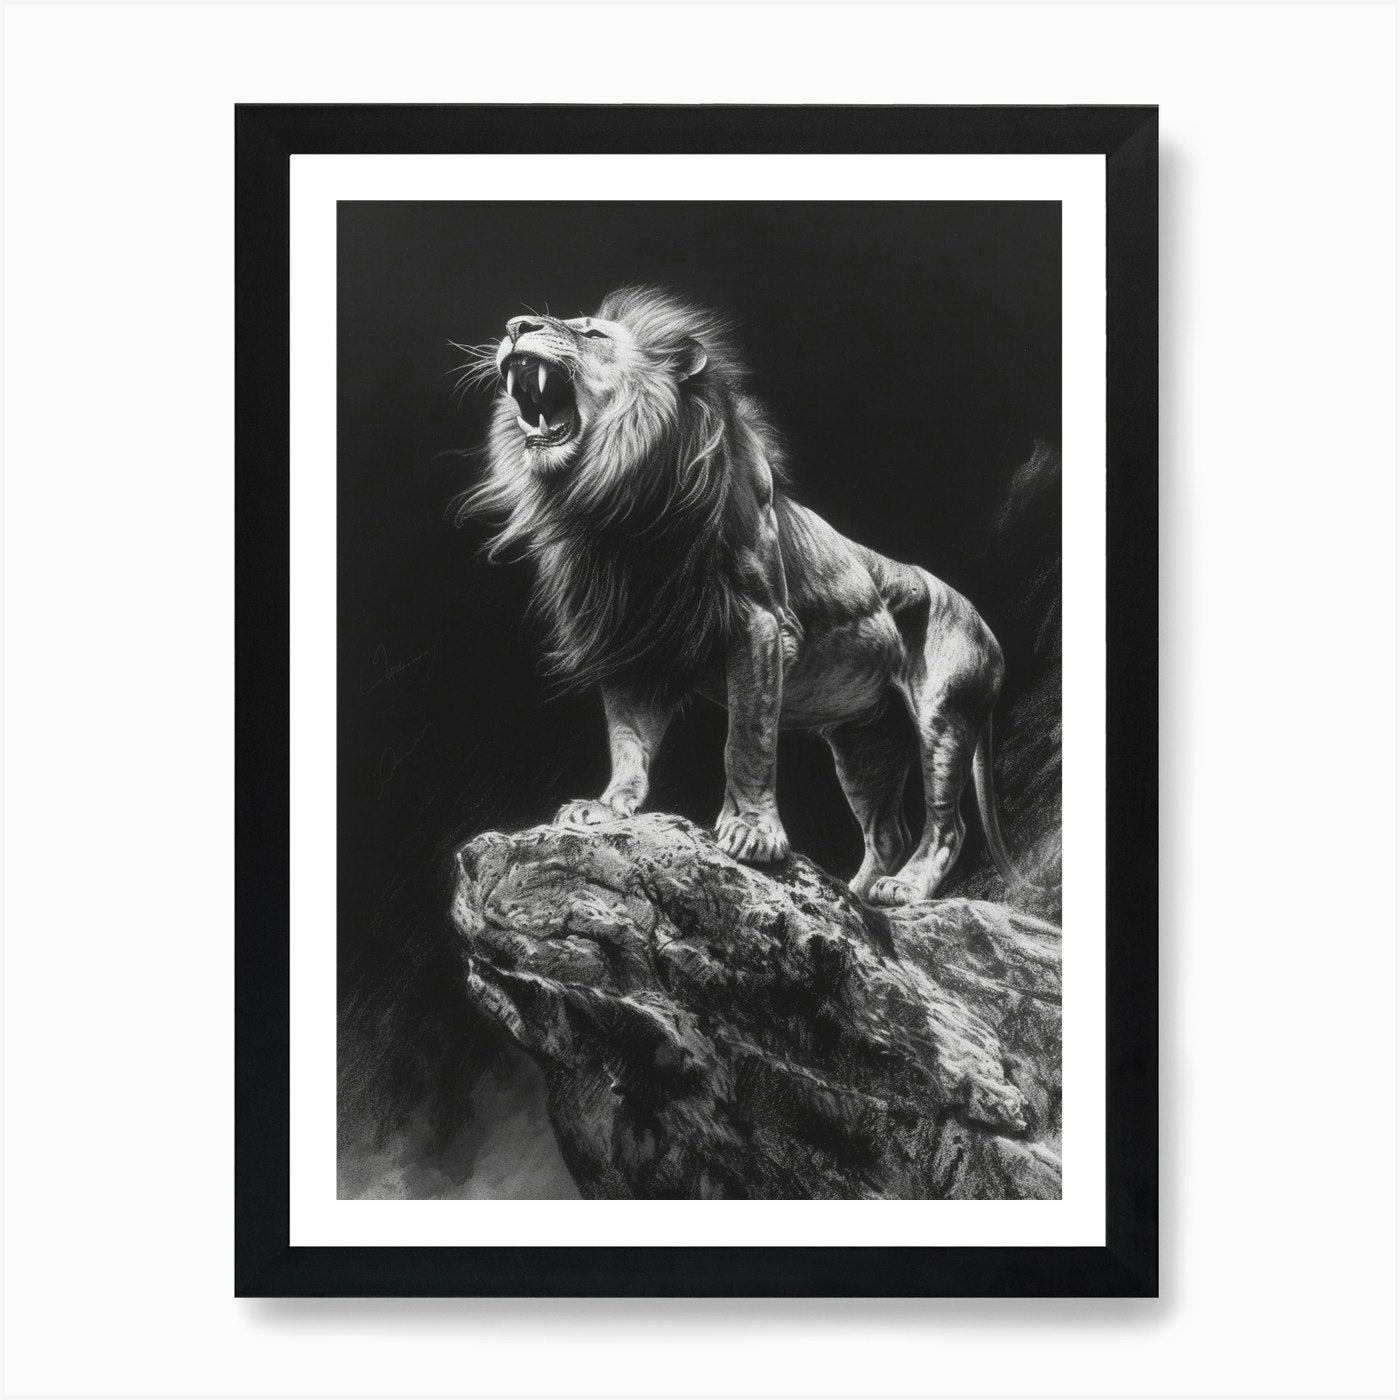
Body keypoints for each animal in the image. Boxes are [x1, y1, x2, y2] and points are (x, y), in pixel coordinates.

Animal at [457, 286, 1027, 905]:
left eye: (592, 333)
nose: (516, 326)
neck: (620, 504)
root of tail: (987, 627)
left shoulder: (759, 623)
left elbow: (747, 740)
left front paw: (753, 835)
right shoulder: (631, 647)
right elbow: (627, 739)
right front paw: (606, 808)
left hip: (945, 717)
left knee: (949, 825)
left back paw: (903, 890)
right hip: (867, 742)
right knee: (887, 832)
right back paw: (851, 896)